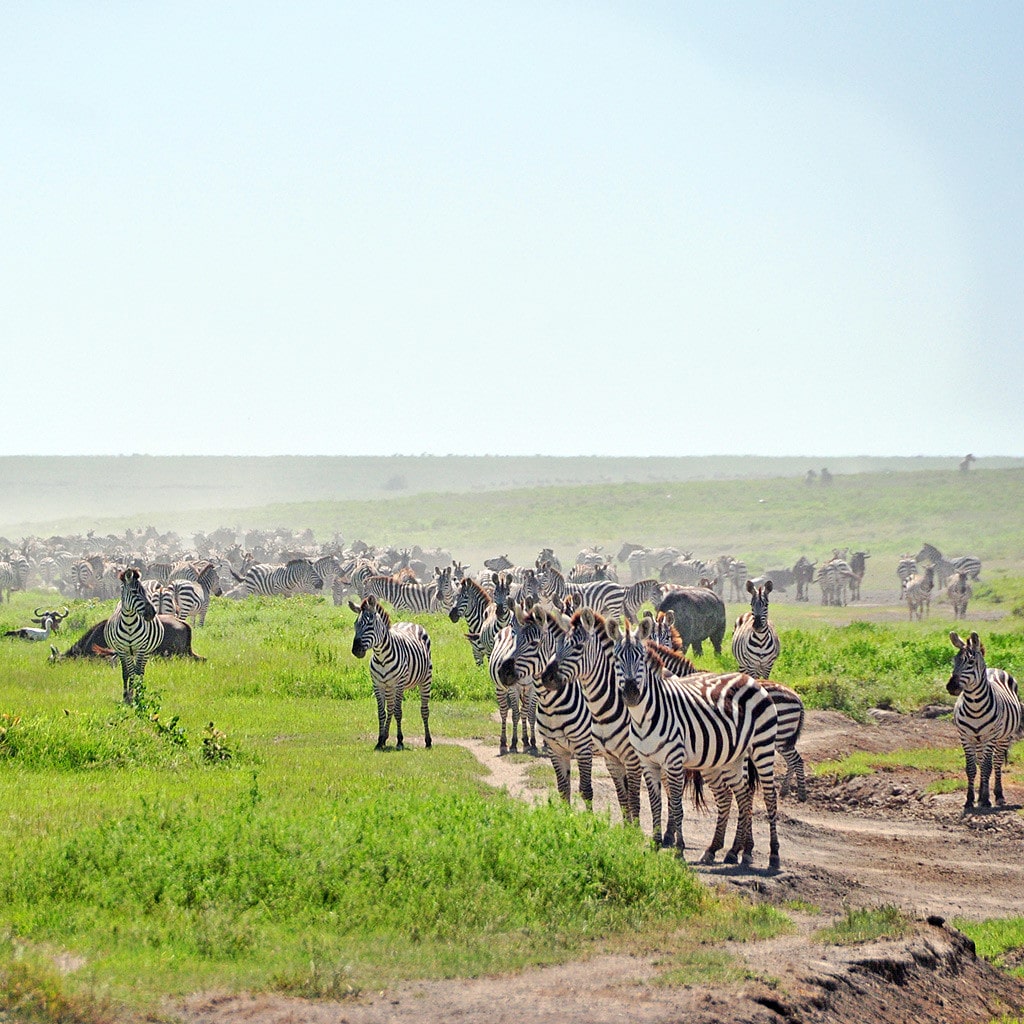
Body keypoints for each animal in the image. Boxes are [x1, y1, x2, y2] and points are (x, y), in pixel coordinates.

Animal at [104, 567, 165, 703]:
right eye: (134, 592)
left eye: (145, 591)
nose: (152, 613)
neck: (129, 624)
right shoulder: (122, 650)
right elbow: (126, 673)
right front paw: (127, 696)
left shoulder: (141, 648)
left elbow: (137, 672)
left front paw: (137, 696)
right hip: (129, 652)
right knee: (130, 671)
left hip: (146, 651)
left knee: (141, 671)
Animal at [349, 595, 432, 751]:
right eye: (355, 624)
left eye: (370, 624)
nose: (356, 650)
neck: (381, 656)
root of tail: (409, 622)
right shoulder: (378, 685)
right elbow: (382, 712)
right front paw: (379, 741)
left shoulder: (399, 684)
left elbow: (399, 712)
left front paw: (399, 741)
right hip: (389, 687)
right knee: (391, 709)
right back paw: (385, 738)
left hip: (425, 680)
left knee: (424, 711)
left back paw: (428, 741)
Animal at [606, 616, 781, 870]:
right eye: (617, 658)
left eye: (639, 657)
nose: (630, 693)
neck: (644, 716)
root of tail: (750, 678)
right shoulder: (649, 763)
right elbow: (656, 803)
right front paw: (655, 845)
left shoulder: (674, 761)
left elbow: (677, 806)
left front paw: (678, 849)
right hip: (732, 758)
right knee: (742, 795)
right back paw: (735, 852)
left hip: (763, 748)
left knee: (769, 797)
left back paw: (773, 856)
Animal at [947, 631, 1022, 812]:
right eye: (954, 660)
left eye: (971, 662)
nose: (951, 687)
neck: (975, 706)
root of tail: (993, 669)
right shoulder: (965, 737)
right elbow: (971, 768)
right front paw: (969, 800)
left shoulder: (990, 737)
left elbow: (988, 767)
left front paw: (987, 799)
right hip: (978, 739)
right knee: (981, 762)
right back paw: (980, 796)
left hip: (1003, 737)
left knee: (996, 762)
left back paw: (998, 796)